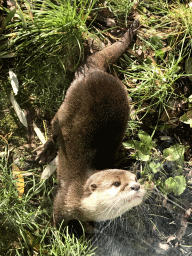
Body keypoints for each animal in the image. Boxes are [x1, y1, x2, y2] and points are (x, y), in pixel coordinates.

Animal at [38, 19, 146, 228]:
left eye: (135, 178)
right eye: (116, 183)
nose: (136, 186)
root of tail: (94, 71)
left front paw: (88, 230)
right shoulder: (62, 200)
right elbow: (56, 219)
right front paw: (56, 232)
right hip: (65, 107)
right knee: (54, 127)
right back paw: (44, 152)